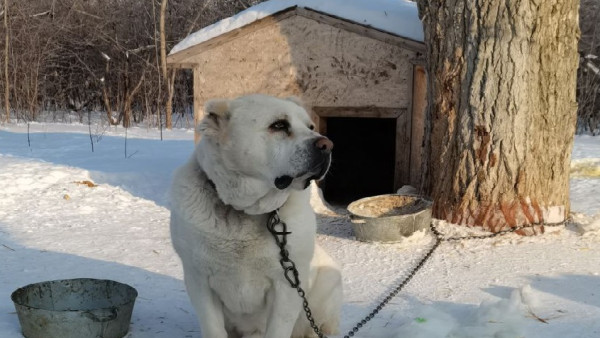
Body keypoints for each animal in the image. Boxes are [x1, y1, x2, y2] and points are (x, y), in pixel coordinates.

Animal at [171, 93, 342, 336]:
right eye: (279, 125)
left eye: (310, 127)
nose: (327, 145)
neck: (244, 212)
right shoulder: (199, 282)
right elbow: (213, 329)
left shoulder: (286, 288)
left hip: (325, 290)